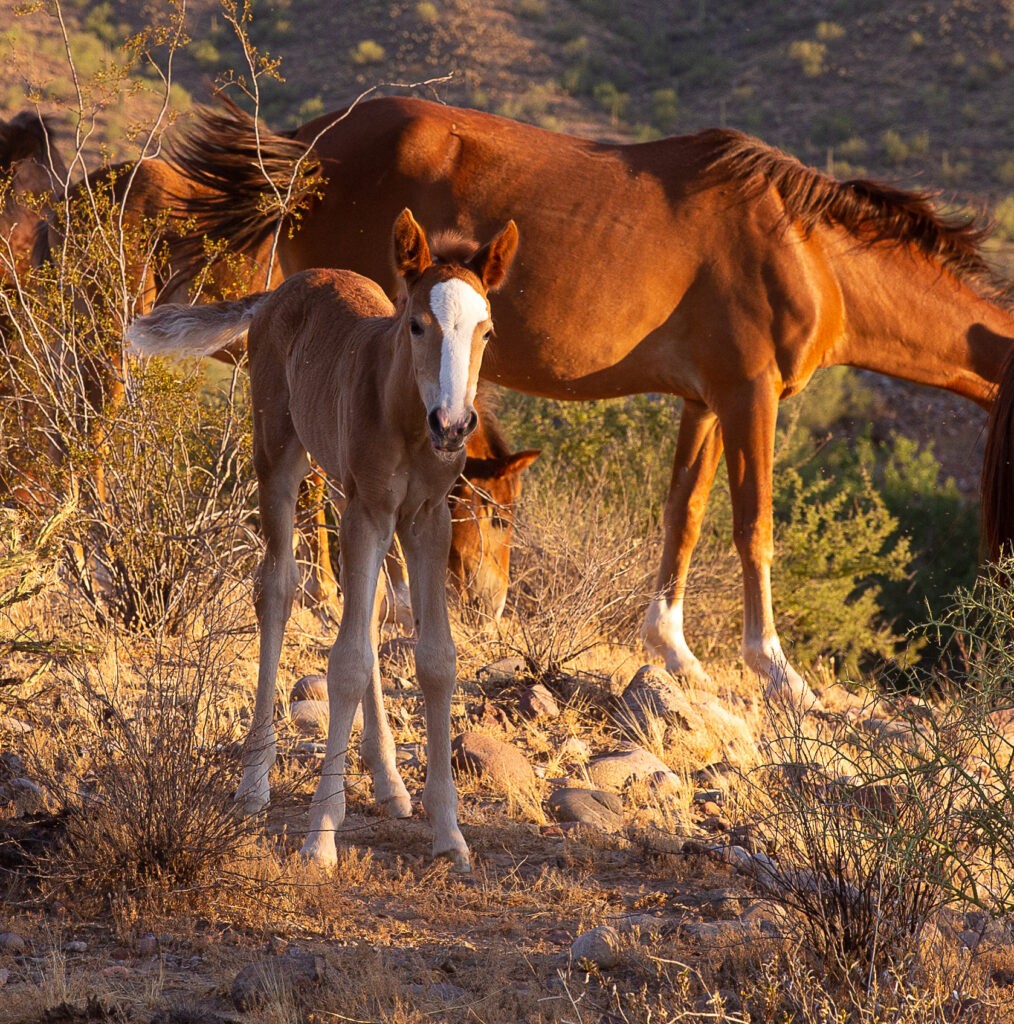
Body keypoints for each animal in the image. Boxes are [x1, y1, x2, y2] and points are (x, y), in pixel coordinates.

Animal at [0, 112, 535, 621]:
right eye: (499, 517)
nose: (492, 604)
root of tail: (66, 205)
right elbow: (318, 483)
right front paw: (328, 592)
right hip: (107, 334)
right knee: (85, 439)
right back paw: (99, 565)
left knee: (55, 432)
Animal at [127, 208, 520, 870]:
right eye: (417, 324)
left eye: (487, 332)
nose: (453, 424)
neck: (407, 416)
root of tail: (282, 289)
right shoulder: (370, 510)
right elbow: (347, 661)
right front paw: (321, 835)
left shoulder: (425, 517)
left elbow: (436, 659)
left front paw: (450, 834)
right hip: (280, 455)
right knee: (277, 588)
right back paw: (254, 782)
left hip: (342, 489)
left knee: (369, 604)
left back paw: (389, 782)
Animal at [168, 95, 1014, 708]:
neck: (804, 248)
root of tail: (309, 145)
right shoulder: (752, 395)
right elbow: (755, 527)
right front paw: (778, 672)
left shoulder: (707, 401)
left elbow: (684, 514)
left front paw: (675, 652)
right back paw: (351, 600)